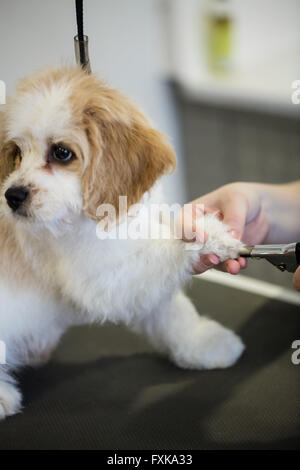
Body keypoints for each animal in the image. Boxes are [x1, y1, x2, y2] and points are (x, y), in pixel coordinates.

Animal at [0, 67, 244, 418]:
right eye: (17, 154)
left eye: (61, 152)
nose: (12, 196)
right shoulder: (105, 279)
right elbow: (168, 249)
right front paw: (211, 237)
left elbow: (174, 312)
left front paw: (201, 346)